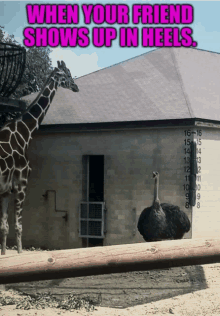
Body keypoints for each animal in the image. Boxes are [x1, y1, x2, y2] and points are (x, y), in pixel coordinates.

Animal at [0, 60, 79, 256]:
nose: (76, 87)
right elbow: (18, 227)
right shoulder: (21, 184)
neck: (25, 133)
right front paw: (20, 254)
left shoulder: (6, 190)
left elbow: (4, 227)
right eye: (67, 74)